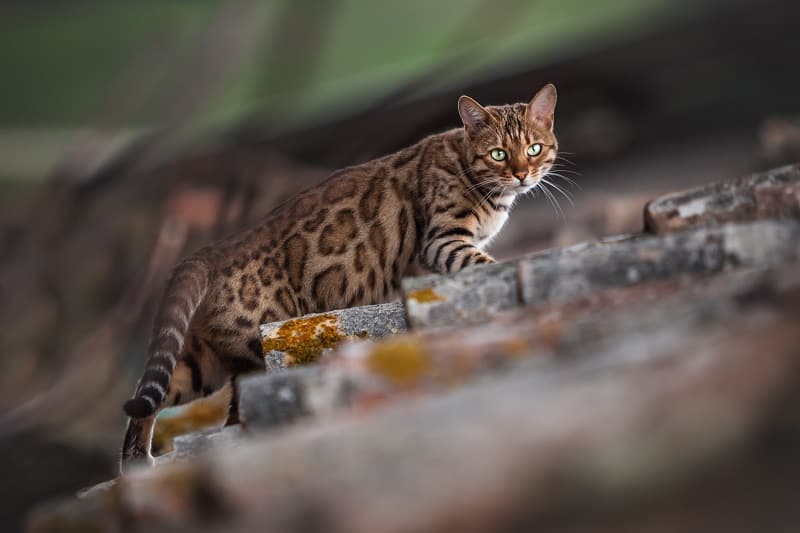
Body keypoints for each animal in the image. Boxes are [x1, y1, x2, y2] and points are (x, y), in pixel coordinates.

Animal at [122, 82, 560, 470]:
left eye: (534, 148)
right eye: (499, 154)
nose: (522, 174)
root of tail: (213, 250)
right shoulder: (441, 241)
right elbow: (482, 261)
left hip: (205, 364)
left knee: (152, 399)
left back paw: (135, 466)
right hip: (250, 348)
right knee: (221, 411)